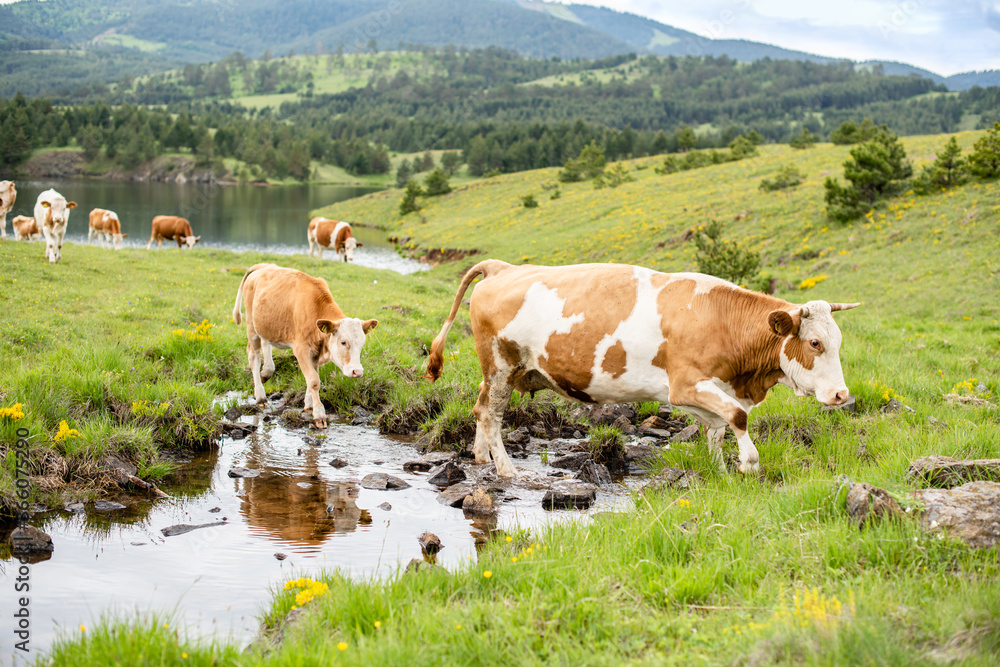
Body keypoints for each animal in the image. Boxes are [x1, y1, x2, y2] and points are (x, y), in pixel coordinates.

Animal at [232, 263, 379, 428]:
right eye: (343, 342)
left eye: (362, 343)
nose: (357, 372)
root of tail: (263, 266)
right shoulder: (301, 349)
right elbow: (314, 381)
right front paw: (319, 414)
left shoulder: (315, 352)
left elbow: (312, 377)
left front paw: (309, 405)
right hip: (251, 326)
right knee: (254, 356)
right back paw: (260, 395)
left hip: (266, 325)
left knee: (266, 345)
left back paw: (266, 372)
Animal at [425, 260, 859, 478]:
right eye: (815, 343)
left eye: (838, 340)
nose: (841, 395)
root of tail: (502, 267)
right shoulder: (684, 384)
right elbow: (737, 418)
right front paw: (748, 464)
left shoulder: (718, 387)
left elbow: (718, 428)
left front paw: (719, 469)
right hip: (501, 362)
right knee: (491, 412)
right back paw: (505, 469)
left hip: (503, 371)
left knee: (481, 408)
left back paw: (481, 457)